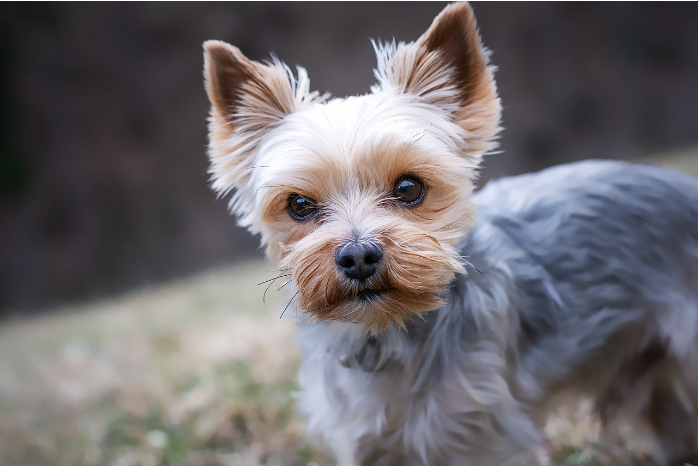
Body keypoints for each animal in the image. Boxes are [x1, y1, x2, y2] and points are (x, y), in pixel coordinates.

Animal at [200, 2, 696, 464]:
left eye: (409, 188)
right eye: (299, 206)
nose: (358, 256)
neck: (387, 333)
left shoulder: (481, 438)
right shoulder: (365, 443)